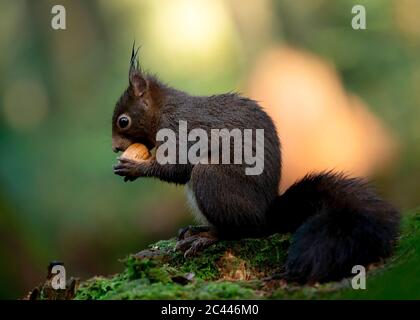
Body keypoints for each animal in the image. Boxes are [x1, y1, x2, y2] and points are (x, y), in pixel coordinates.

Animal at [111, 46, 400, 284]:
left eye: (123, 121)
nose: (115, 148)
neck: (163, 110)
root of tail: (267, 215)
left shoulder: (180, 131)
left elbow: (177, 167)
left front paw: (134, 168)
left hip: (212, 177)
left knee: (239, 231)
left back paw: (206, 237)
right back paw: (199, 229)